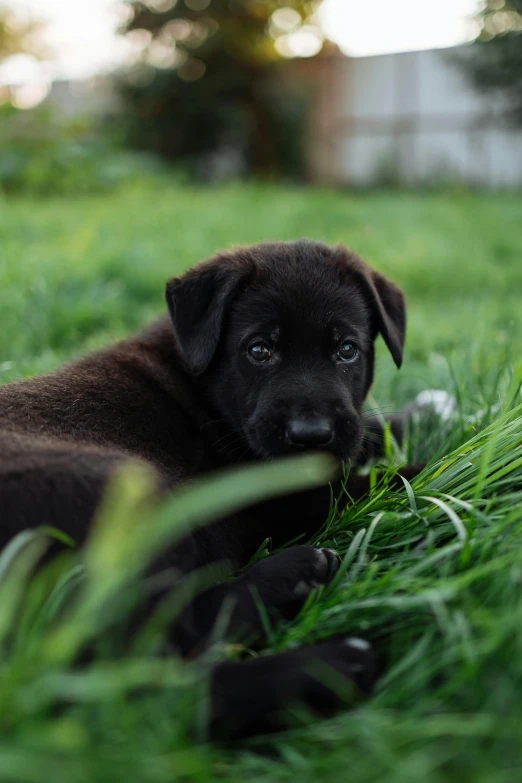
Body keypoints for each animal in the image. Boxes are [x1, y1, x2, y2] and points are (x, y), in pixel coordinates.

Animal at [0, 240, 414, 740]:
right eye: (259, 350)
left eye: (347, 350)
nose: (311, 435)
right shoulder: (279, 494)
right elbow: (388, 479)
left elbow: (371, 431)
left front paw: (439, 415)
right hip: (122, 488)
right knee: (151, 686)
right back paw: (330, 650)